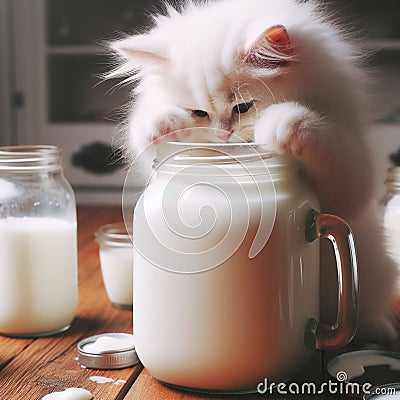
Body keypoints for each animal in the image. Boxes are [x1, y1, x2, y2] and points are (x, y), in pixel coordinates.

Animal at [108, 0, 396, 340]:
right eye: (199, 113)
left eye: (243, 108)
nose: (223, 136)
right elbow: (144, 126)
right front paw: (165, 123)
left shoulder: (349, 177)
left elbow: (320, 134)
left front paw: (280, 125)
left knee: (369, 305)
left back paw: (377, 329)